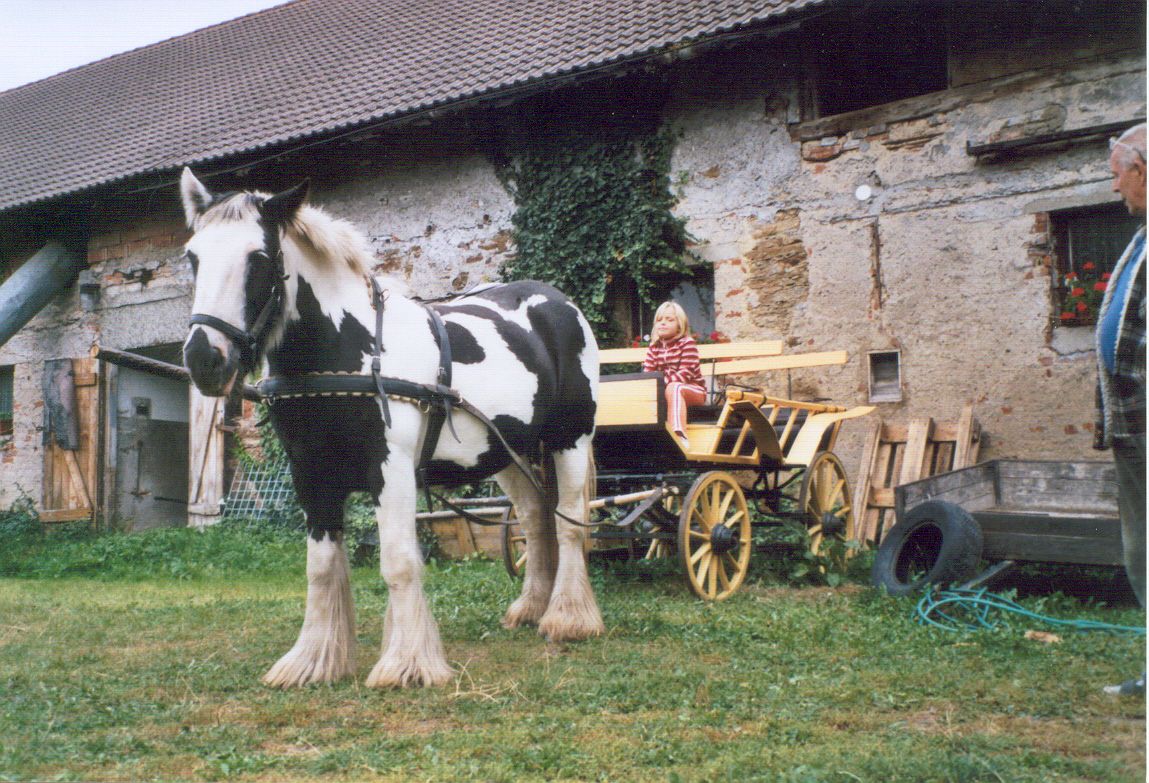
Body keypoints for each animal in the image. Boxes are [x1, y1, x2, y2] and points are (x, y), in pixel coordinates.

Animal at [179, 169, 602, 685]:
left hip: (570, 439)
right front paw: (314, 660)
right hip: (509, 453)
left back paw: (568, 619)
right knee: (535, 519)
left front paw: (408, 666)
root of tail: (561, 304)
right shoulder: (310, 475)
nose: (204, 359)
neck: (347, 351)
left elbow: (398, 562)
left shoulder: (392, 469)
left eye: (258, 258)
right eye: (193, 257)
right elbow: (321, 567)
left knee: (569, 522)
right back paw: (530, 609)